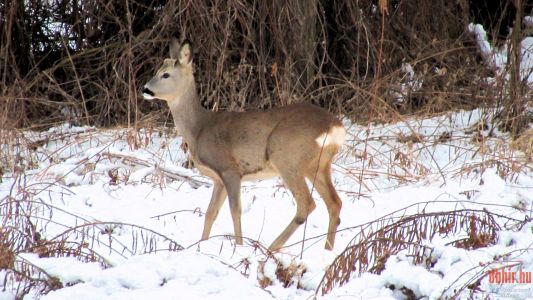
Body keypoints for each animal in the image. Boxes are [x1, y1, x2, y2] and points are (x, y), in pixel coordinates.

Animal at [141, 39, 344, 251]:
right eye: (157, 70)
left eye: (165, 74)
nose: (145, 89)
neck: (199, 128)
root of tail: (335, 126)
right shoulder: (218, 179)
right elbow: (210, 213)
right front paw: (201, 245)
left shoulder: (230, 169)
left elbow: (235, 211)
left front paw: (238, 247)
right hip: (318, 165)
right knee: (335, 203)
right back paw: (328, 250)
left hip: (288, 159)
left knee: (307, 204)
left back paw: (271, 248)